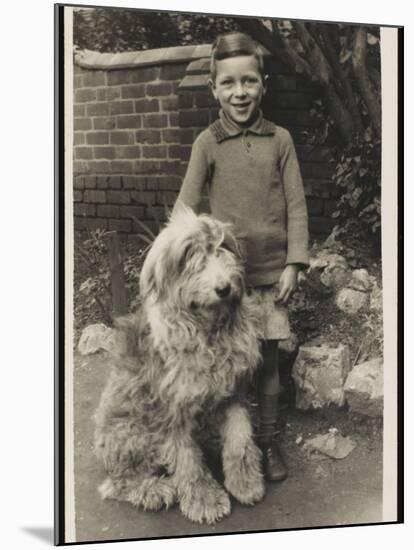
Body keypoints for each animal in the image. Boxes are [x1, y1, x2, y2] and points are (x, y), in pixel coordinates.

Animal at [93, 205, 266, 524]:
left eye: (222, 250)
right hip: (132, 435)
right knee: (116, 484)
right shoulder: (172, 412)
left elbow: (240, 438)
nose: (224, 288)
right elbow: (187, 461)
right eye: (191, 260)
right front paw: (205, 500)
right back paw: (155, 490)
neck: (208, 332)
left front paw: (245, 484)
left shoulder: (233, 392)